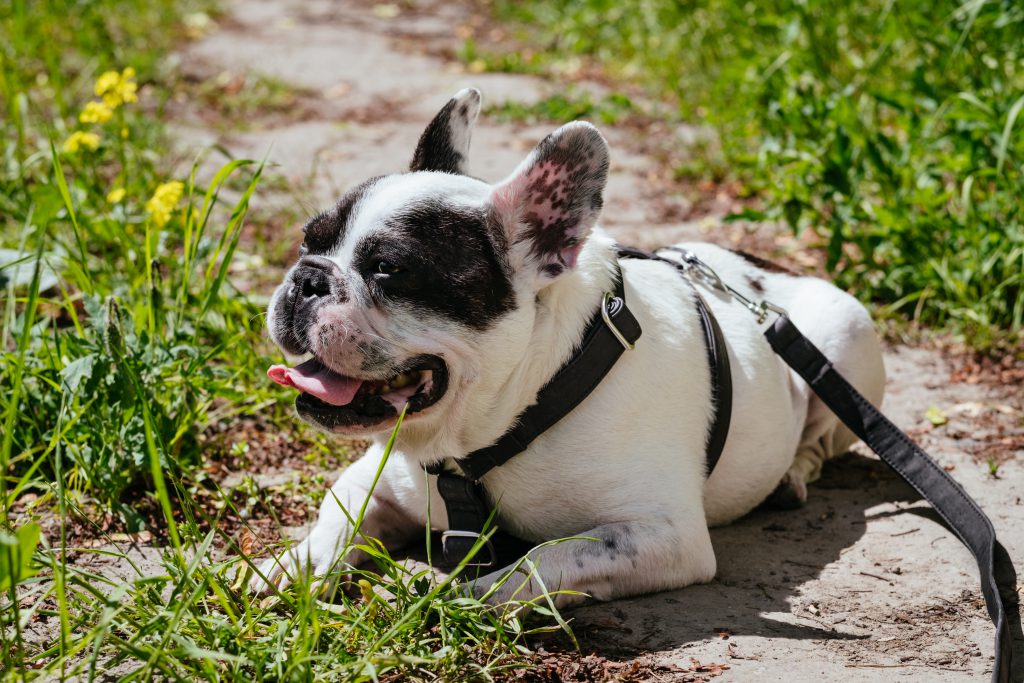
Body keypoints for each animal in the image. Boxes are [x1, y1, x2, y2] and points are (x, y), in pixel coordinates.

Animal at [249, 88, 888, 606]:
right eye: (308, 240)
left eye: (389, 269)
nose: (306, 278)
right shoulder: (373, 481)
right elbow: (334, 520)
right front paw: (286, 565)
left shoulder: (660, 536)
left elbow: (541, 560)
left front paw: (456, 598)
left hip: (845, 341)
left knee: (819, 440)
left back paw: (792, 475)